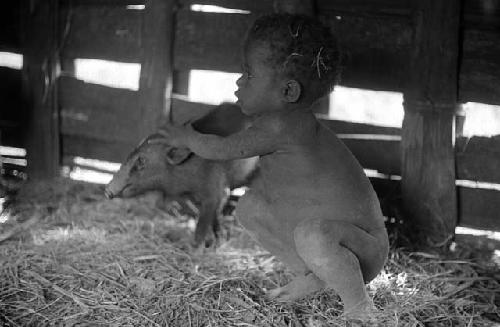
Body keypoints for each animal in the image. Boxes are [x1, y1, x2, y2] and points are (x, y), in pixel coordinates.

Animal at [102, 104, 258, 249]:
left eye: (141, 161)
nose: (107, 190)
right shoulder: (184, 195)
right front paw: (216, 240)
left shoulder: (216, 191)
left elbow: (204, 221)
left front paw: (196, 249)